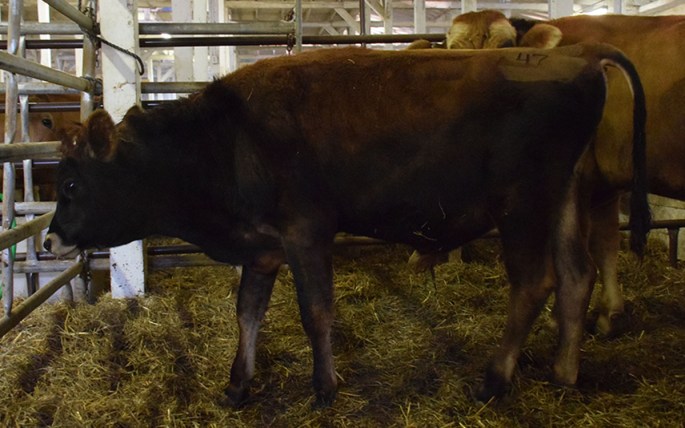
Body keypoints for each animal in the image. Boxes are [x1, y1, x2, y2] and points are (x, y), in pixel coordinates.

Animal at [43, 45, 649, 405]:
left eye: (71, 184)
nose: (49, 239)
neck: (226, 139)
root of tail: (576, 55)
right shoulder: (262, 248)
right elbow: (248, 311)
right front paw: (239, 382)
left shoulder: (307, 232)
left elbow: (315, 312)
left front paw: (325, 386)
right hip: (566, 195)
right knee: (576, 276)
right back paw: (564, 370)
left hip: (522, 205)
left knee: (534, 283)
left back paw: (496, 378)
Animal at [445, 11, 685, 337]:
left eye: (506, 51)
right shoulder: (604, 183)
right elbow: (606, 244)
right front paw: (610, 314)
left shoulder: (576, 180)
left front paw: (560, 318)